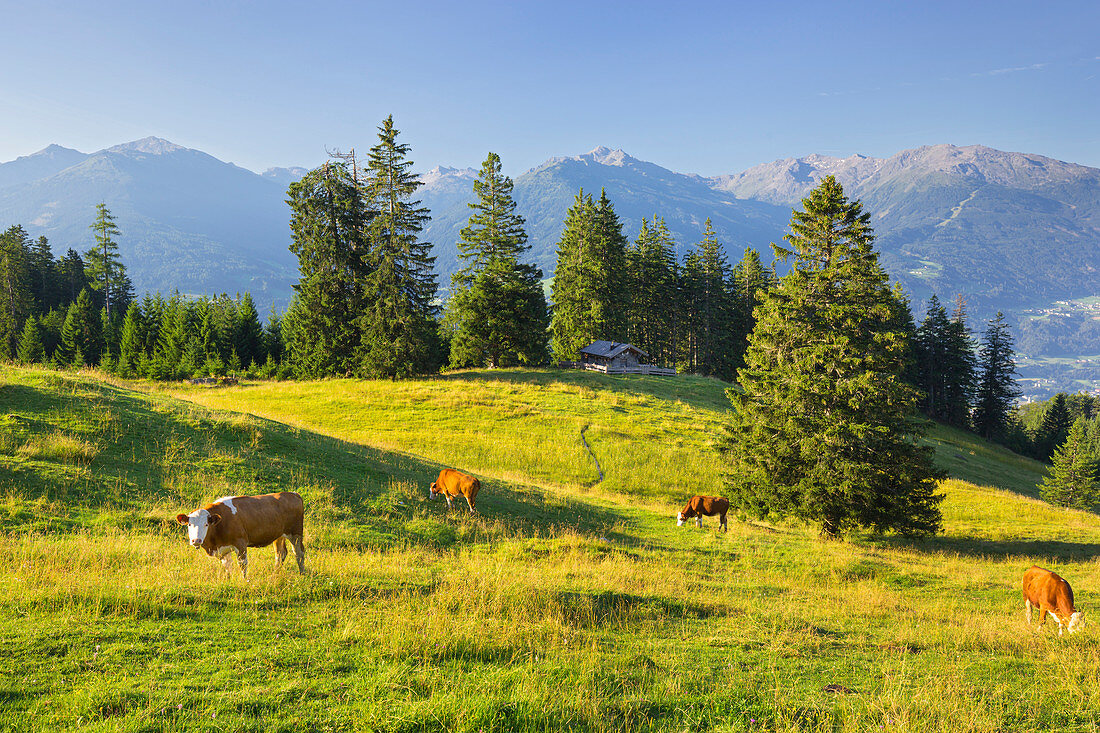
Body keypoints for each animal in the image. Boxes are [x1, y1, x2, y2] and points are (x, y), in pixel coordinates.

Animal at [176, 490, 305, 576]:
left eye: (206, 524)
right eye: (189, 524)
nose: (196, 540)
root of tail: (293, 494)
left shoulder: (240, 543)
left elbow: (242, 564)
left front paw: (244, 581)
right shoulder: (222, 549)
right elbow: (228, 566)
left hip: (296, 533)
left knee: (299, 553)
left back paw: (302, 573)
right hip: (278, 535)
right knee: (280, 553)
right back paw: (275, 573)